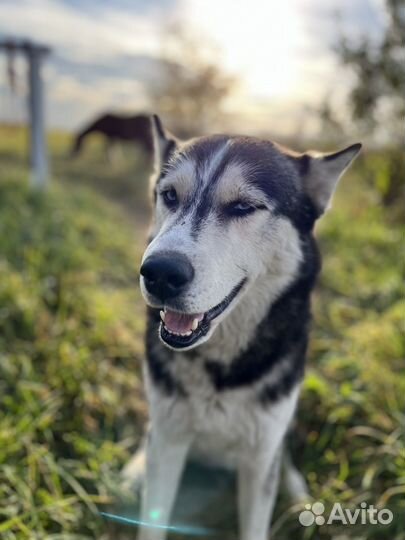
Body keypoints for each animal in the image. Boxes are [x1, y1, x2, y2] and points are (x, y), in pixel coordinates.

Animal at [126, 115, 360, 540]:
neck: (220, 369)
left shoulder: (260, 455)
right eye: (169, 195)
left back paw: (297, 492)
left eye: (243, 206)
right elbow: (153, 518)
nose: (160, 273)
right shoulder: (169, 441)